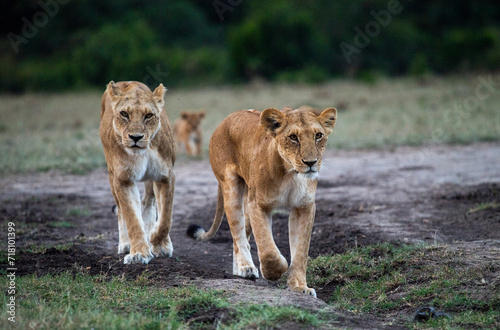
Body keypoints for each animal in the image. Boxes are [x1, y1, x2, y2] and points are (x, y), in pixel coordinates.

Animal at [99, 81, 176, 264]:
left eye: (148, 115)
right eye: (124, 114)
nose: (135, 137)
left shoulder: (165, 176)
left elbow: (165, 218)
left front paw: (157, 241)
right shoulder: (123, 180)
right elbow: (132, 218)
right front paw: (139, 253)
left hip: (150, 179)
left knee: (149, 202)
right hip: (111, 176)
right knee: (121, 211)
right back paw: (126, 244)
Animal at [188, 106, 336, 296]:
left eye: (318, 135)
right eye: (293, 137)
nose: (311, 162)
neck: (290, 174)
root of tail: (226, 119)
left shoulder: (304, 207)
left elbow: (301, 251)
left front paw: (300, 287)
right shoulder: (258, 205)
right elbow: (268, 249)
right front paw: (274, 271)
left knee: (243, 236)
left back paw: (240, 269)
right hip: (231, 189)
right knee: (238, 235)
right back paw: (246, 268)